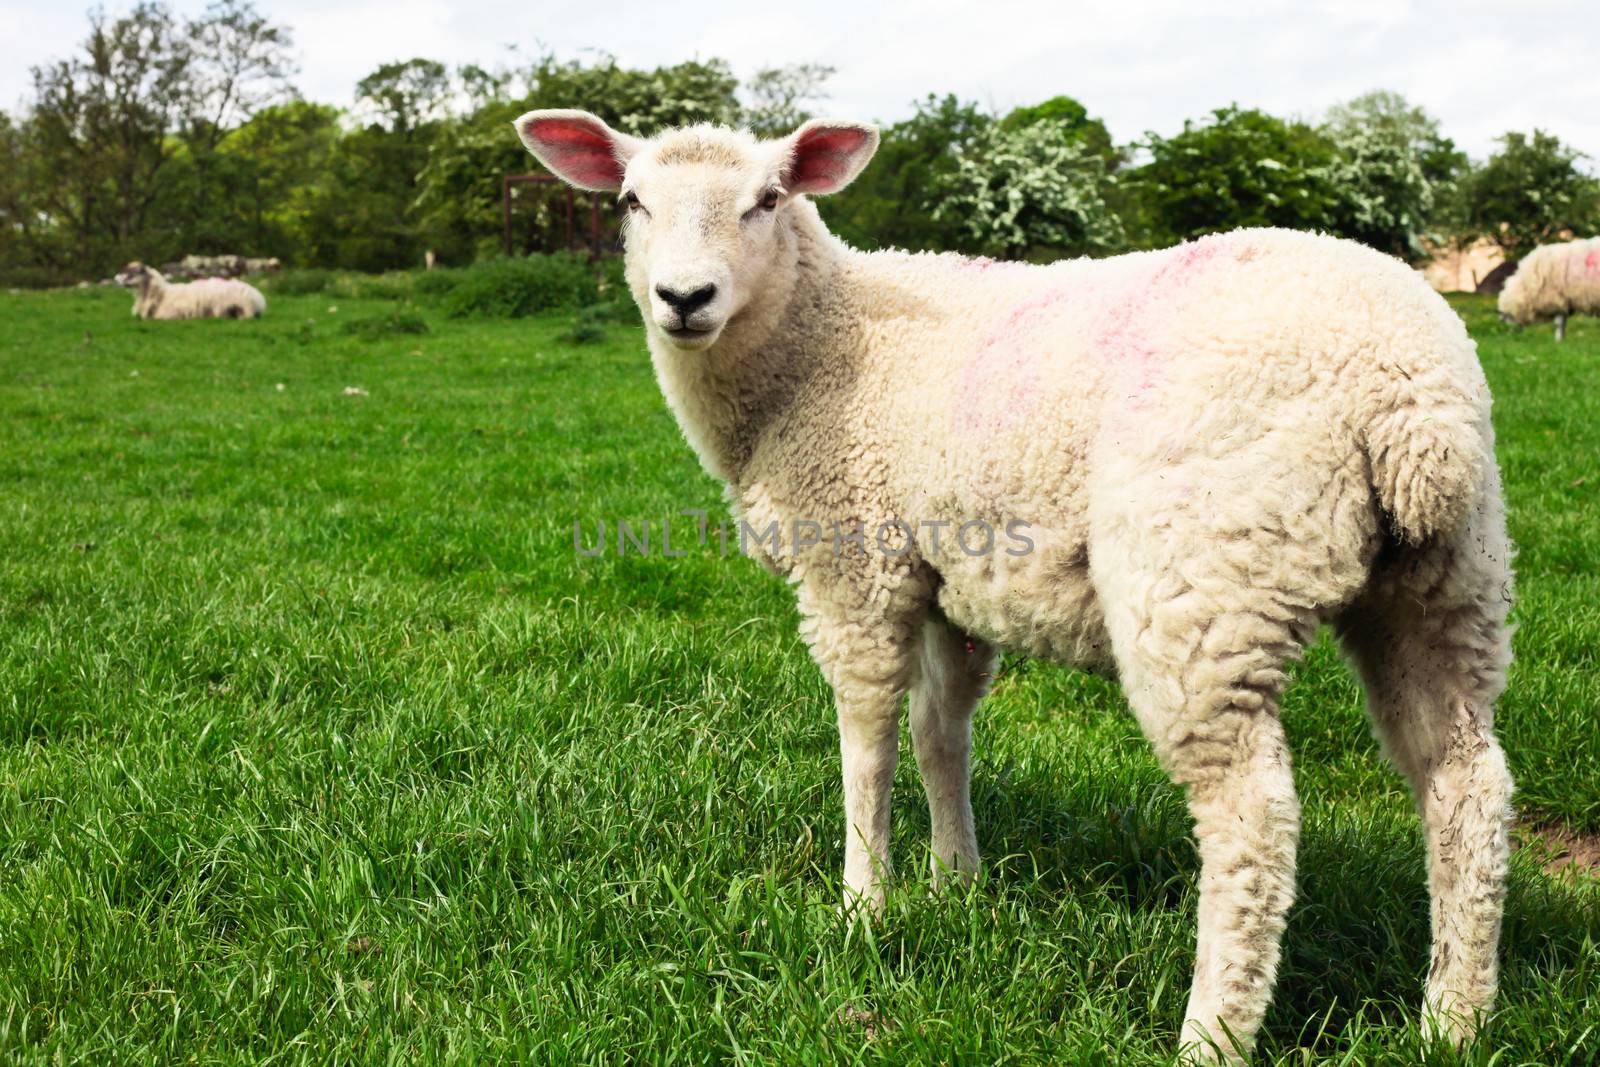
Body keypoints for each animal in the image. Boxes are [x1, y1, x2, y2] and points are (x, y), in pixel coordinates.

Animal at [518, 108, 1516, 1062]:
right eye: (630, 203)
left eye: (767, 199)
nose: (684, 299)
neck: (817, 343)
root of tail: (1412, 403)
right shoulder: (945, 572)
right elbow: (939, 731)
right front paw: (955, 881)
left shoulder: (856, 560)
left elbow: (868, 739)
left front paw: (863, 901)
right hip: (1444, 582)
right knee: (1464, 782)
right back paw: (1453, 1017)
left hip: (1206, 580)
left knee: (1251, 816)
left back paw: (1212, 1033)